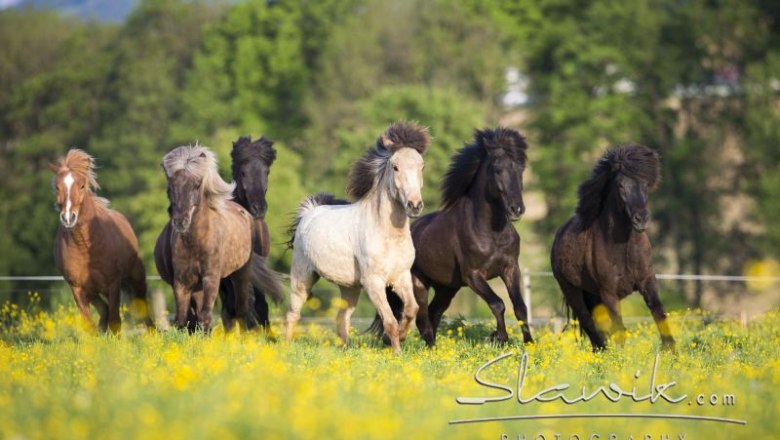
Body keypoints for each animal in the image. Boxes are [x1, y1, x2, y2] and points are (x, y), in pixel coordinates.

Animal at [50, 149, 151, 333]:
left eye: (82, 185)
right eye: (57, 187)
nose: (68, 218)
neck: (86, 247)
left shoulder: (113, 284)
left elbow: (115, 321)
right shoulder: (78, 289)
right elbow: (90, 325)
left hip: (136, 278)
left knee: (143, 309)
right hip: (94, 292)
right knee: (104, 310)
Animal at [286, 122, 429, 354]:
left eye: (421, 166)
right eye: (395, 167)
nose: (414, 205)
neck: (389, 236)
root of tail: (309, 212)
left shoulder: (401, 277)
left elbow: (411, 310)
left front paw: (402, 337)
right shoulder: (374, 282)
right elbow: (390, 320)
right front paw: (396, 351)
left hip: (349, 287)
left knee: (341, 318)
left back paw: (345, 349)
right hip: (302, 277)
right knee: (293, 313)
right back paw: (286, 346)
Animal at [368, 127, 533, 346]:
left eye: (520, 169)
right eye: (498, 169)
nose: (517, 209)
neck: (492, 233)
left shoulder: (510, 269)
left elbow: (520, 307)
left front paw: (529, 343)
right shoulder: (473, 275)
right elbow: (498, 304)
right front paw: (499, 337)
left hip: (446, 288)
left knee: (433, 313)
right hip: (418, 285)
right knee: (423, 319)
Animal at [550, 145, 675, 351]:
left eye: (645, 185)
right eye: (621, 186)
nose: (641, 220)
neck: (623, 249)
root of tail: (559, 235)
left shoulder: (648, 281)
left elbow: (659, 314)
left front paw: (672, 352)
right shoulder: (609, 293)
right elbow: (619, 328)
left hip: (593, 295)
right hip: (573, 292)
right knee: (589, 325)